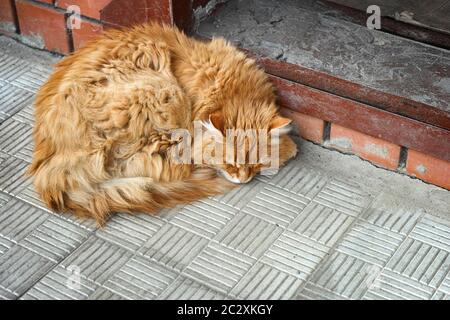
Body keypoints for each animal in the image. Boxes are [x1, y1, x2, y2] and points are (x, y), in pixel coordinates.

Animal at [27, 22, 296, 224]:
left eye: (256, 164)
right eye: (229, 162)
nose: (243, 180)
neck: (229, 88)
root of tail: (52, 168)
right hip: (161, 92)